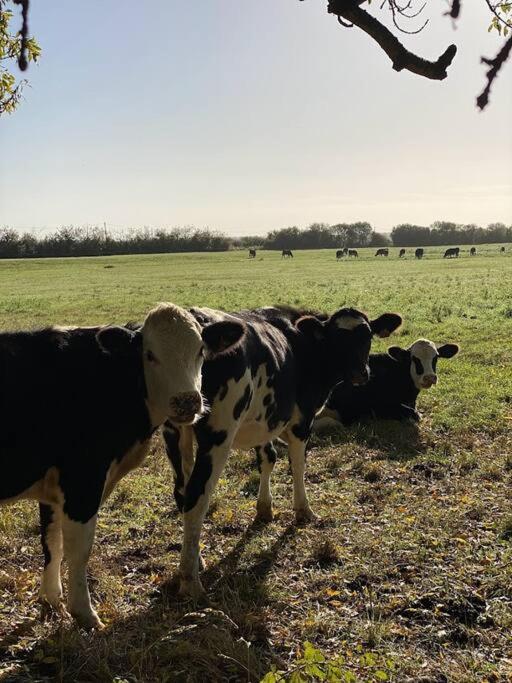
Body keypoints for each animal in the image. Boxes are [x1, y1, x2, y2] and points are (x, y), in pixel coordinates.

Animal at [0, 308, 244, 628]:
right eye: (149, 354)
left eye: (200, 350)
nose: (187, 401)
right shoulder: (83, 479)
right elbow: (79, 549)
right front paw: (85, 614)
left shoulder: (53, 485)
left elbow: (52, 541)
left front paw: (52, 599)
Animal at [162, 304, 402, 600]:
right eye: (337, 339)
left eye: (367, 335)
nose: (360, 373)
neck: (305, 347)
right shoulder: (301, 422)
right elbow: (297, 465)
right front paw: (303, 510)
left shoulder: (266, 421)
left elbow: (268, 459)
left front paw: (265, 508)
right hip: (218, 435)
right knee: (197, 496)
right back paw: (190, 580)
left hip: (175, 433)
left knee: (181, 491)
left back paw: (197, 558)